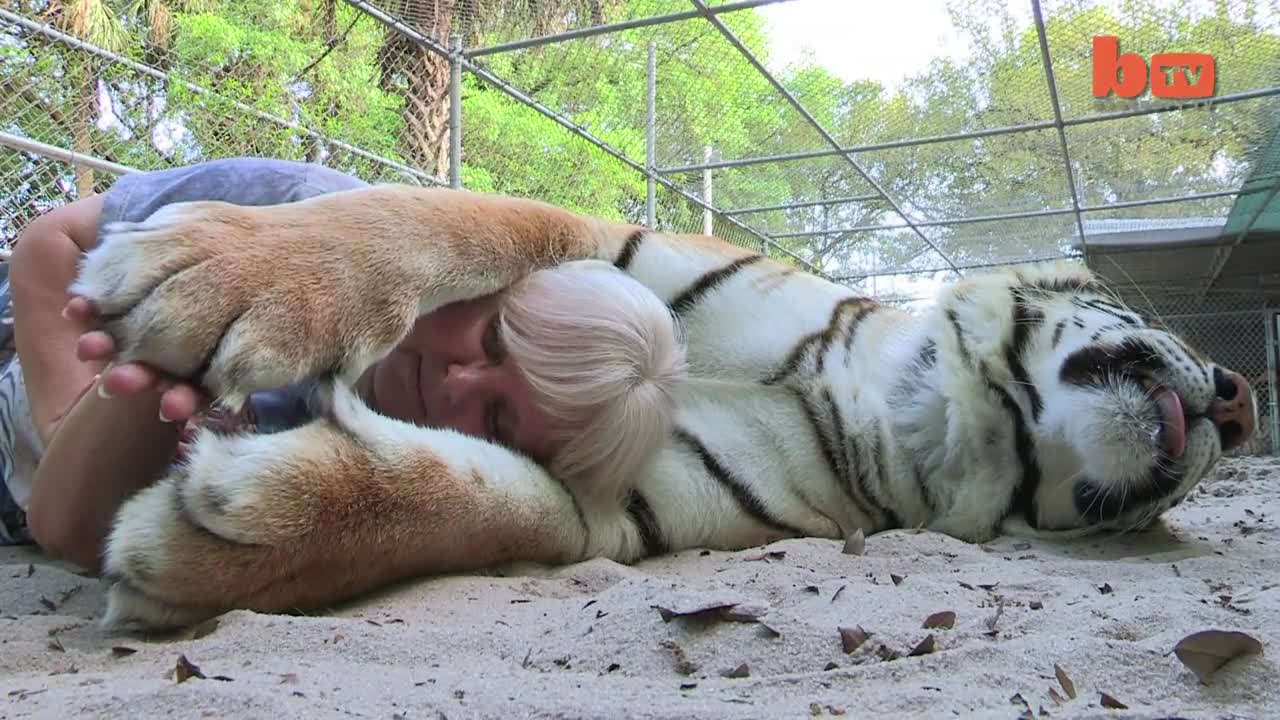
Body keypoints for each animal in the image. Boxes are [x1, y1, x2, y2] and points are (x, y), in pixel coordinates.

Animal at [74, 184, 1264, 627]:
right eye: (1153, 316)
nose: (1240, 399)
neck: (915, 412)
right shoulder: (605, 243)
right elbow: (446, 218)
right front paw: (215, 271)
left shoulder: (631, 504)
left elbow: (509, 507)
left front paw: (222, 541)